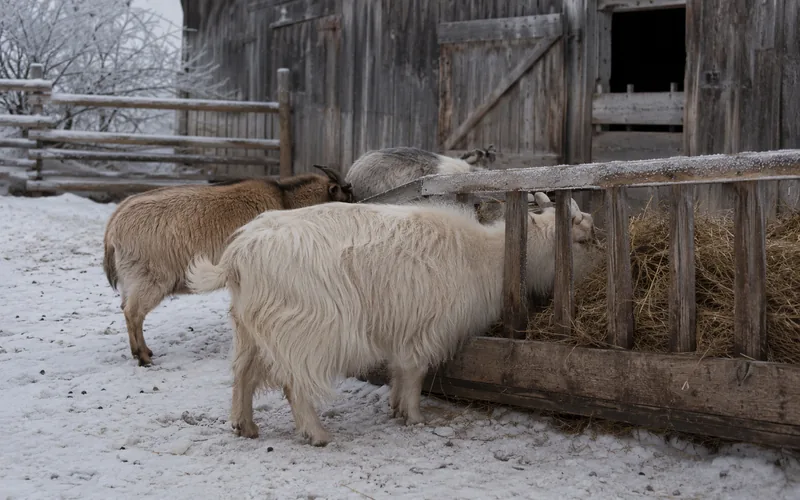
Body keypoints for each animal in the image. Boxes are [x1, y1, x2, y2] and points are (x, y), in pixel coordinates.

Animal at [103, 165, 353, 366]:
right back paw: (143, 356)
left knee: (127, 309)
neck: (285, 200)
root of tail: (113, 226)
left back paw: (142, 351)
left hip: (132, 280)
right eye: (346, 197)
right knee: (133, 313)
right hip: (150, 279)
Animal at [185, 192, 600, 446]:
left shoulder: (406, 331)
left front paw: (397, 408)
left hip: (249, 330)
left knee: (242, 375)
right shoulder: (425, 329)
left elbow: (401, 373)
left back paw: (245, 426)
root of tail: (237, 255)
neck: (487, 256)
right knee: (295, 384)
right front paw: (414, 418)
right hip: (305, 330)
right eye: (582, 240)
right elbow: (414, 373)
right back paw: (317, 434)